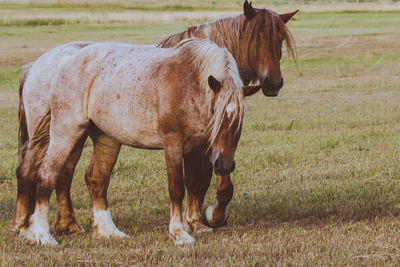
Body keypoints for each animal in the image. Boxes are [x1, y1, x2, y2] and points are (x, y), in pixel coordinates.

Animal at [13, 1, 296, 241]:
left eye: (280, 40)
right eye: (257, 38)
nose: (274, 83)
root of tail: (35, 66)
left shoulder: (207, 145)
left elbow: (201, 181)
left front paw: (198, 221)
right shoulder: (191, 144)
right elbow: (197, 184)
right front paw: (206, 218)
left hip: (89, 136)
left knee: (72, 175)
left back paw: (72, 226)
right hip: (57, 133)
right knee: (33, 171)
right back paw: (28, 227)